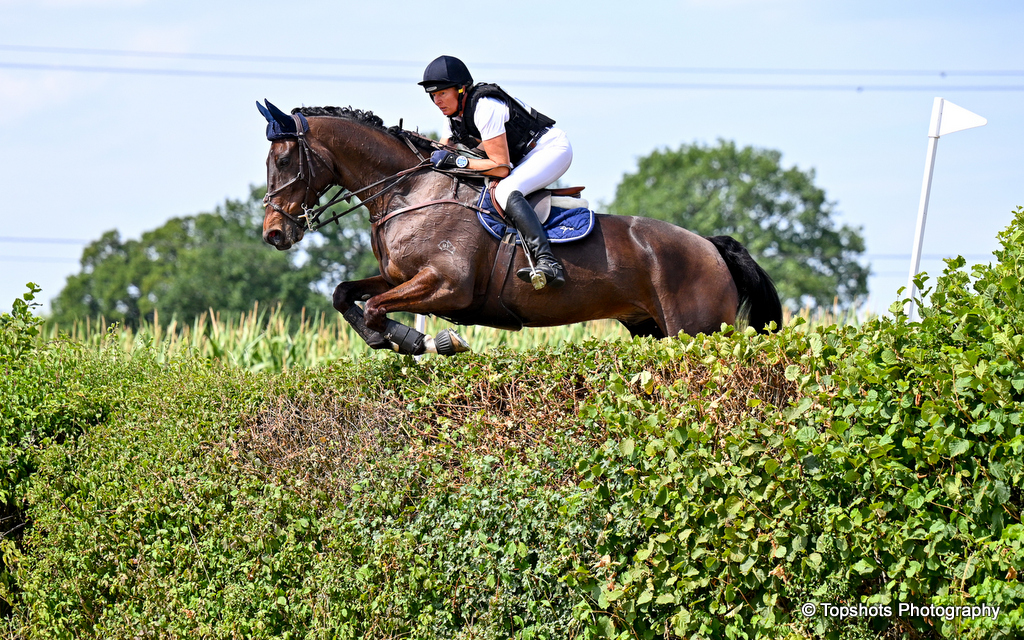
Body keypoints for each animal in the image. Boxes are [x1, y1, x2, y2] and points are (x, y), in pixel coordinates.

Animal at [258, 101, 782, 356]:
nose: (273, 234)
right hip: (650, 328)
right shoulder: (397, 276)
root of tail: (710, 246)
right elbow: (346, 296)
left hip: (698, 329)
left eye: (283, 160)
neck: (409, 191)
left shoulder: (448, 286)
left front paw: (428, 341)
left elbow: (374, 309)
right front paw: (401, 340)